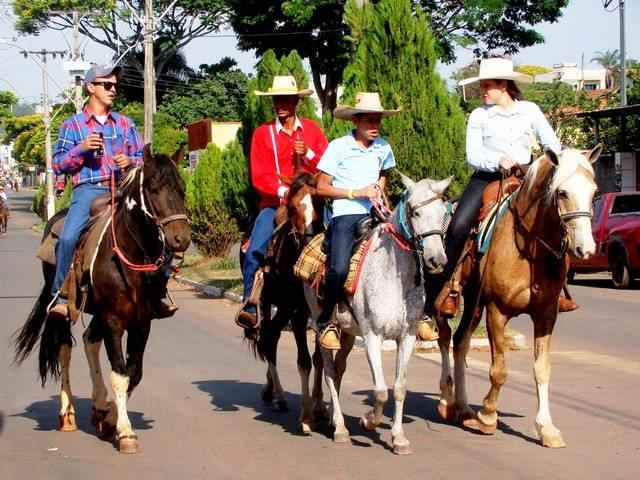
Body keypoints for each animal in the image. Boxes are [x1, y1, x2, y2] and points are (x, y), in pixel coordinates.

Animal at [13, 144, 190, 452]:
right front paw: (125, 432)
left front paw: (109, 419)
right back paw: (68, 414)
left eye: (182, 189)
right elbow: (119, 374)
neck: (129, 258)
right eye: (154, 188)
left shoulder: (141, 322)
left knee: (89, 341)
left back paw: (98, 405)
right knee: (65, 349)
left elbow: (134, 372)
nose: (181, 238)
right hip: (67, 308)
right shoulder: (113, 319)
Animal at [248, 174, 328, 434]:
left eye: (321, 201)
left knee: (272, 335)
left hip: (282, 308)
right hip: (268, 302)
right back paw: (280, 396)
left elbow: (319, 358)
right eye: (292, 207)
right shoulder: (299, 313)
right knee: (267, 337)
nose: (312, 240)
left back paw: (271, 389)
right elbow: (304, 361)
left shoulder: (317, 313)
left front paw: (319, 407)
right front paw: (306, 416)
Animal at [438, 145, 604, 446]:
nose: (585, 249)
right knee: (443, 334)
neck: (528, 248)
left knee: (460, 341)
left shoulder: (546, 315)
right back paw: (447, 400)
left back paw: (465, 409)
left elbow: (542, 368)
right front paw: (488, 416)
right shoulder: (497, 311)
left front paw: (547, 428)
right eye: (562, 192)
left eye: (594, 192)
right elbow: (499, 370)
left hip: (474, 302)